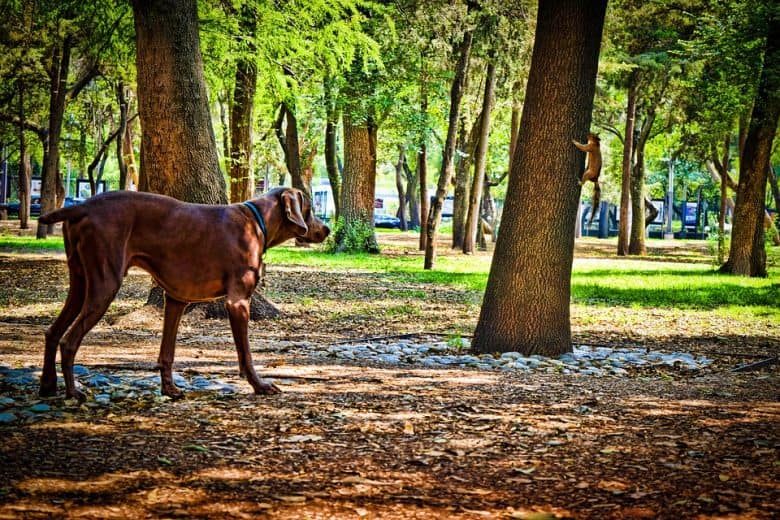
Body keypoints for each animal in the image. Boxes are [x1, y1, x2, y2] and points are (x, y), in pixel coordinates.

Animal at [38, 188, 330, 402]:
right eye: (310, 208)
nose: (327, 229)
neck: (257, 221)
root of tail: (83, 206)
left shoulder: (176, 299)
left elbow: (167, 351)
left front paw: (169, 389)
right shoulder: (237, 302)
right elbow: (245, 355)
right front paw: (259, 385)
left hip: (80, 282)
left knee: (52, 332)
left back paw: (48, 386)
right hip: (105, 284)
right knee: (69, 341)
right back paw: (73, 393)